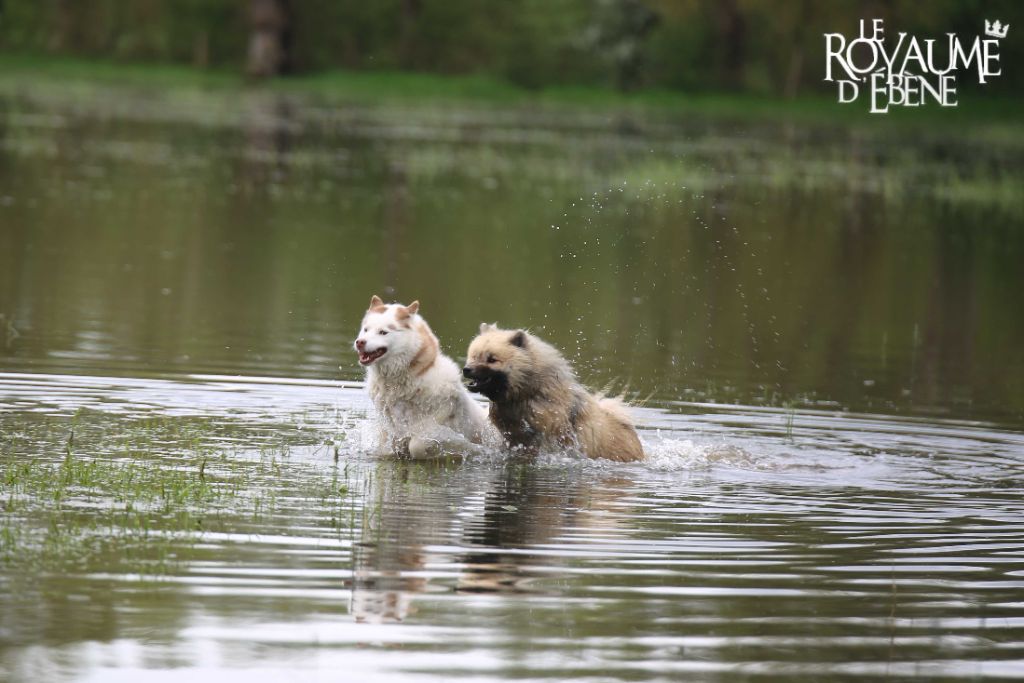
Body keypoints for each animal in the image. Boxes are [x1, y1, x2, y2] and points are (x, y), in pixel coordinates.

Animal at [354, 294, 493, 458]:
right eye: (365, 330)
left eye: (383, 332)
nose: (359, 342)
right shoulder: (389, 426)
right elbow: (386, 446)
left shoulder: (437, 418)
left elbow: (418, 443)